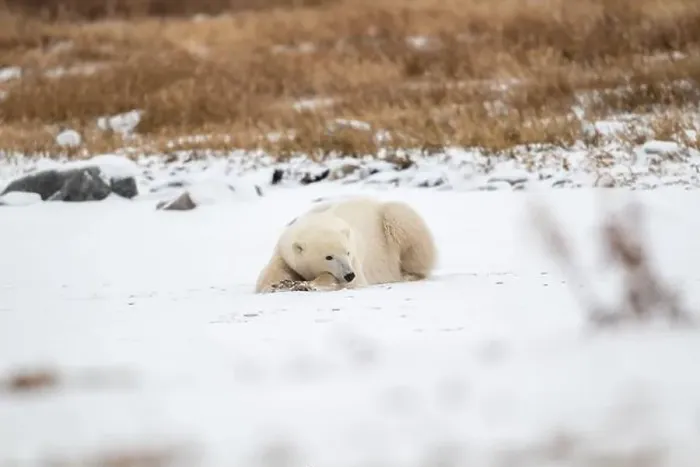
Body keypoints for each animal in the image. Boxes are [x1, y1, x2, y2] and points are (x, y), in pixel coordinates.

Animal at [254, 196, 437, 293]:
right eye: (328, 257)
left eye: (347, 252)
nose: (349, 274)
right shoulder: (284, 252)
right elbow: (271, 273)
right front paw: (278, 284)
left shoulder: (356, 261)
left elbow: (349, 282)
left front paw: (307, 284)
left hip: (393, 220)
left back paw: (408, 274)